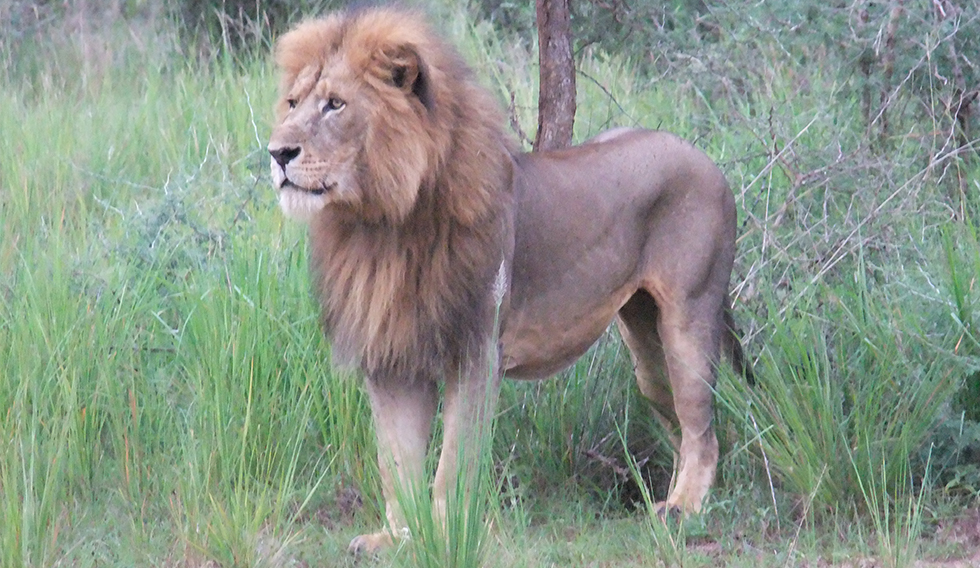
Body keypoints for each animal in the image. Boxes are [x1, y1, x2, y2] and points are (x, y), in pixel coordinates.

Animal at [268, 7, 747, 554]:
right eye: (292, 103)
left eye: (335, 104)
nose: (277, 153)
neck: (380, 223)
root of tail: (705, 159)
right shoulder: (392, 359)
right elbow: (397, 465)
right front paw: (395, 537)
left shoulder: (477, 352)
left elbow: (453, 465)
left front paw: (448, 536)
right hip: (645, 344)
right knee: (677, 421)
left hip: (691, 314)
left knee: (703, 427)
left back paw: (684, 509)